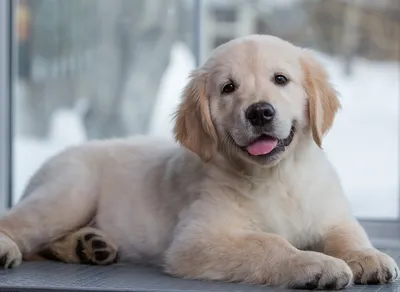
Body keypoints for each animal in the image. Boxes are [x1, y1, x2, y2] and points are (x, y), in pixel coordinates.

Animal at [0, 34, 396, 290]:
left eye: (281, 79)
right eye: (228, 88)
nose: (260, 112)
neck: (277, 177)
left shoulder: (331, 213)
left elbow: (349, 233)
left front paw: (368, 257)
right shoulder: (197, 239)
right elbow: (269, 243)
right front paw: (316, 264)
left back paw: (90, 246)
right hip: (69, 192)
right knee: (19, 225)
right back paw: (13, 248)